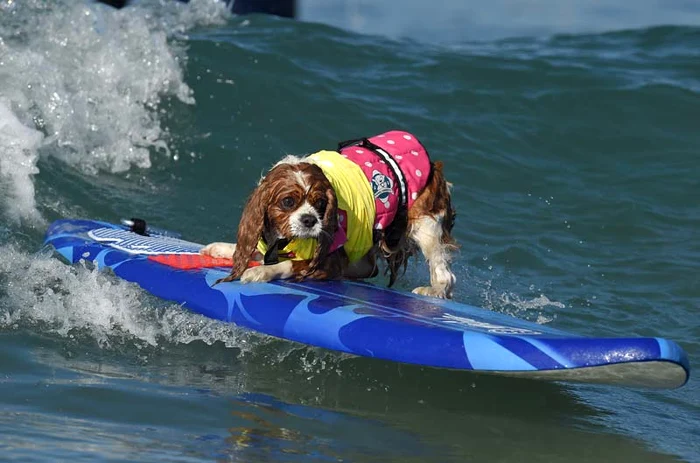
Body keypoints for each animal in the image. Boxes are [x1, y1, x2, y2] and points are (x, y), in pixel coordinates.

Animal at [200, 131, 456, 298]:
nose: (310, 220)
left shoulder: (330, 262)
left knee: (444, 274)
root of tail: (433, 164)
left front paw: (260, 270)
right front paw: (224, 249)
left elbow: (290, 265)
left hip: (425, 226)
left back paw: (434, 290)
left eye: (321, 203)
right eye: (288, 202)